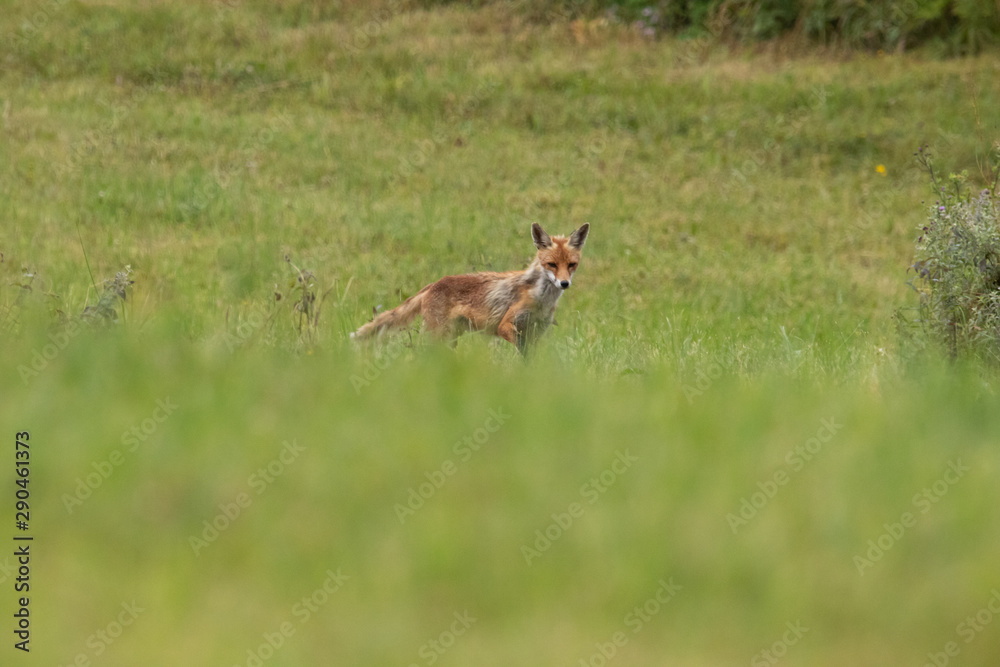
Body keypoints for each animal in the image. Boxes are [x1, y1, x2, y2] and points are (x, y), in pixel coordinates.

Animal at [352, 222, 590, 354]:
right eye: (552, 264)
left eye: (571, 265)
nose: (564, 283)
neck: (541, 300)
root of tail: (434, 283)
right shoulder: (506, 326)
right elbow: (520, 351)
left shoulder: (537, 333)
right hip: (436, 337)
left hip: (450, 340)